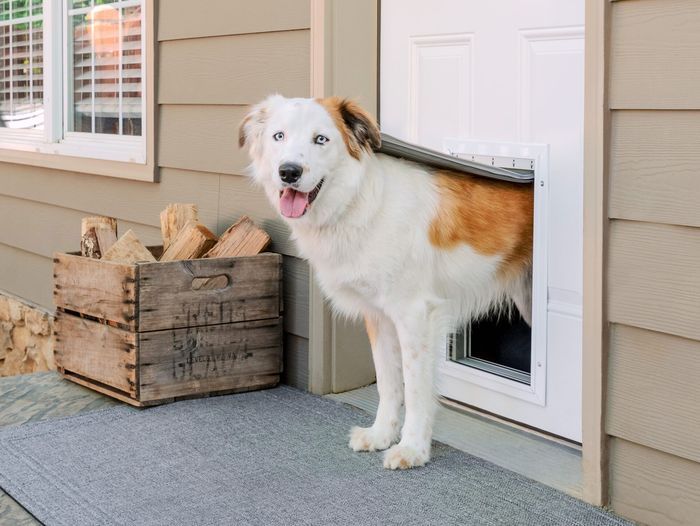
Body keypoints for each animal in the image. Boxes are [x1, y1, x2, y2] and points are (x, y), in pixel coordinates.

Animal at [238, 94, 532, 470]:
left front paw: (413, 449)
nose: (289, 172)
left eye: (321, 139)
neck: (360, 204)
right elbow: (389, 383)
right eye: (279, 136)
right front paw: (381, 435)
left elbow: (416, 388)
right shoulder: (378, 317)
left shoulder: (415, 315)